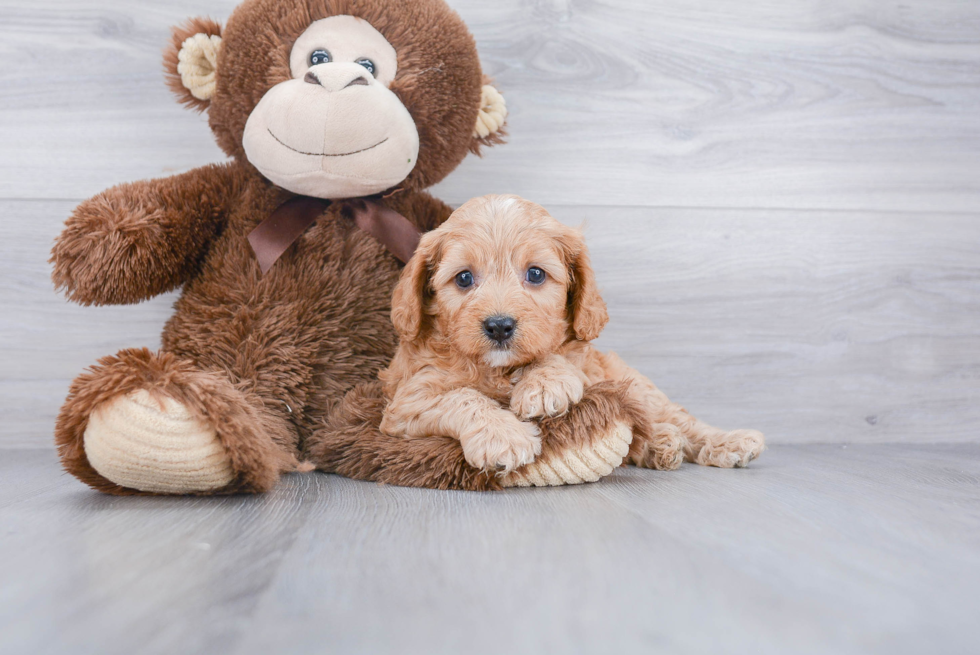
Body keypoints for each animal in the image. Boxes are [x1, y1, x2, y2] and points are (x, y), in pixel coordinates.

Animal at [378, 195, 768, 476]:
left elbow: (561, 355)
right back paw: (658, 445)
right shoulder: (406, 402)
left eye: (536, 274)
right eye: (463, 278)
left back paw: (727, 441)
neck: (500, 370)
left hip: (635, 385)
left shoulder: (585, 361)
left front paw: (543, 384)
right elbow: (462, 397)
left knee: (676, 418)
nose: (499, 326)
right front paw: (503, 436)